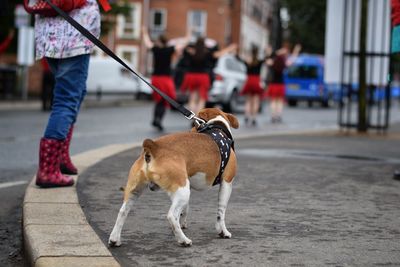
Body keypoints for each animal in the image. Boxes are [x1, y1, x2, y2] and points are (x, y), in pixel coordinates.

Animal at [108, 108, 239, 248]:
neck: (217, 126)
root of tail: (154, 147)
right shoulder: (227, 183)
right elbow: (221, 212)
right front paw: (223, 231)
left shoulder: (188, 186)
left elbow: (185, 209)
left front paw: (182, 223)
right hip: (182, 190)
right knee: (171, 215)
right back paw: (183, 240)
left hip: (137, 190)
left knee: (123, 211)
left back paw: (114, 239)